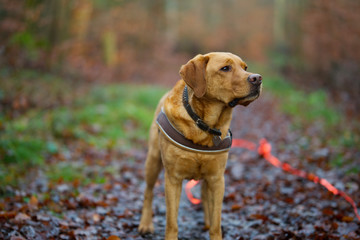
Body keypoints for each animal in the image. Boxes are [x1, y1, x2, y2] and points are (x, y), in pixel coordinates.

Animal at [138, 51, 262, 239]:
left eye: (245, 67)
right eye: (225, 68)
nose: (258, 78)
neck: (204, 125)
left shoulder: (217, 179)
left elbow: (216, 223)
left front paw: (213, 227)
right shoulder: (173, 179)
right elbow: (172, 223)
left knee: (204, 195)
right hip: (153, 161)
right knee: (148, 192)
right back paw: (145, 224)